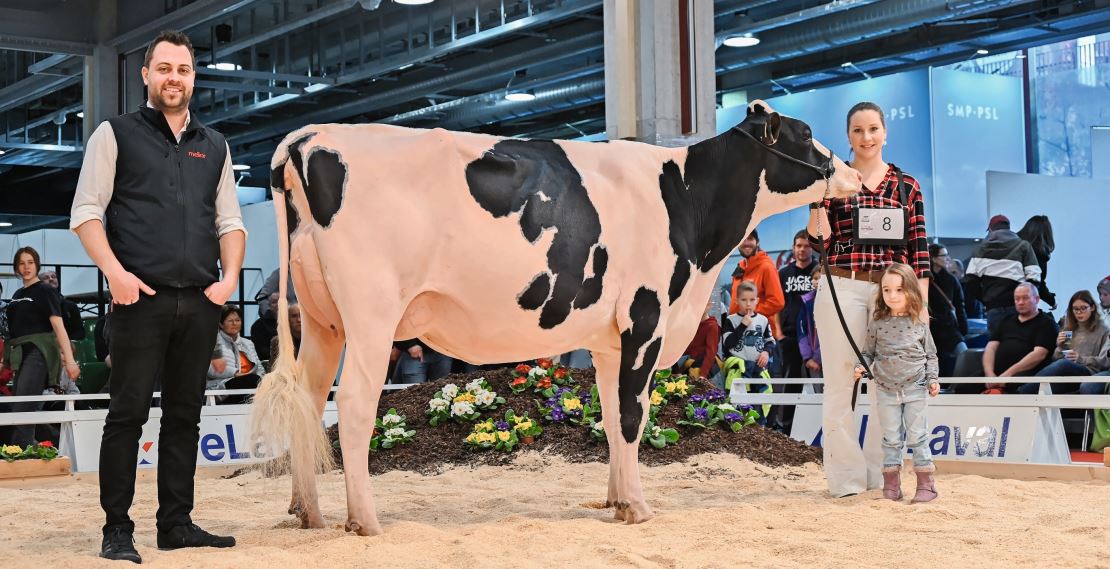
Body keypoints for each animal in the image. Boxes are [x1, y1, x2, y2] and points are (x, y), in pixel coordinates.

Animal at [255, 98, 861, 532]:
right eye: (805, 133)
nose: (853, 174)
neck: (686, 199)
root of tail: (309, 136)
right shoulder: (646, 319)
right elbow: (632, 415)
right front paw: (637, 507)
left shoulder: (609, 339)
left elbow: (612, 418)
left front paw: (616, 499)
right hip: (372, 315)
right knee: (355, 405)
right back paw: (365, 520)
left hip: (323, 320)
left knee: (309, 401)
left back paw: (309, 512)